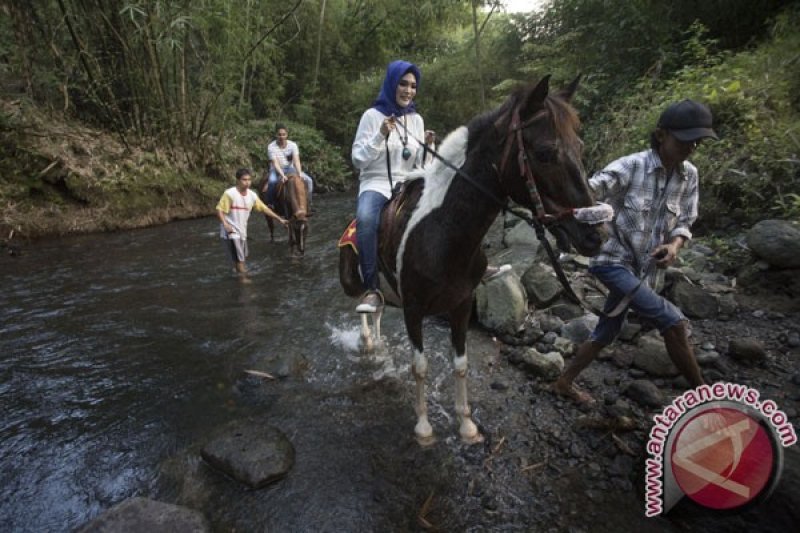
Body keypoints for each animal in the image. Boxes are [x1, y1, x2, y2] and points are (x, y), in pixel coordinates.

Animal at [338, 77, 608, 446]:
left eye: (579, 146)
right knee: (364, 307)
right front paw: (424, 427)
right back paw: (366, 341)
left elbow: (461, 365)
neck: (442, 232)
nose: (597, 233)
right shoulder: (413, 309)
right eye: (544, 152)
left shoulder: (461, 305)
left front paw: (466, 425)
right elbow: (420, 367)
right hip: (353, 282)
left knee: (377, 313)